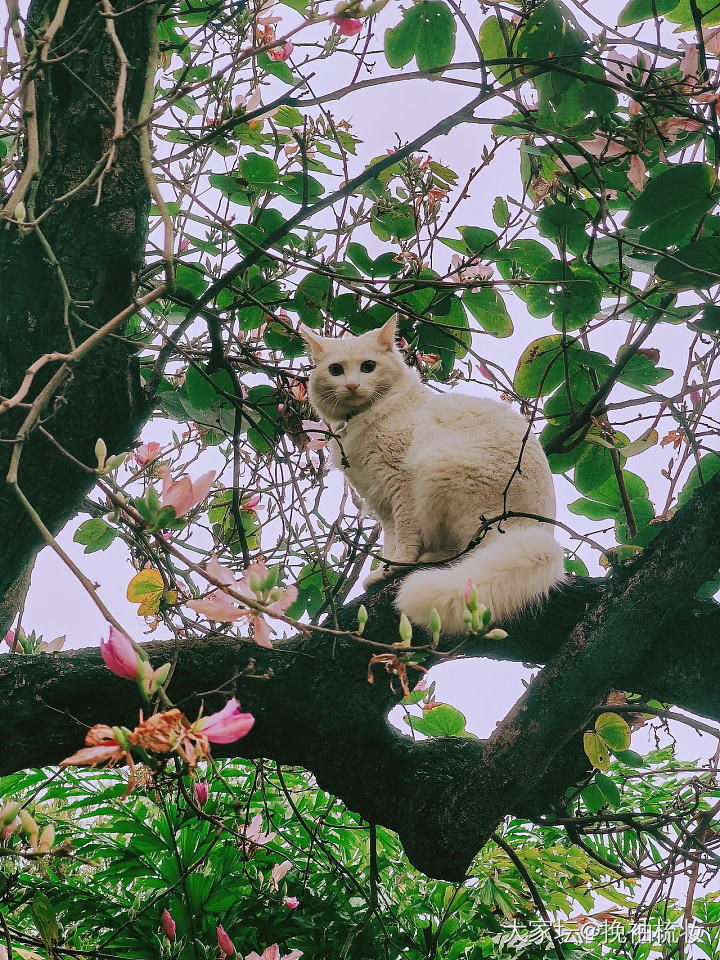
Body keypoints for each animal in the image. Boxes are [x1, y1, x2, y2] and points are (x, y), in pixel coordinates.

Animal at [300, 318, 568, 632]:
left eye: (368, 366)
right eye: (336, 370)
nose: (352, 385)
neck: (365, 416)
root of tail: (539, 532)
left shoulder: (400, 484)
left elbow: (405, 537)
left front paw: (396, 567)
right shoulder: (382, 502)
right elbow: (390, 540)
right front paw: (384, 569)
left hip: (438, 467)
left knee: (466, 551)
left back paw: (425, 560)